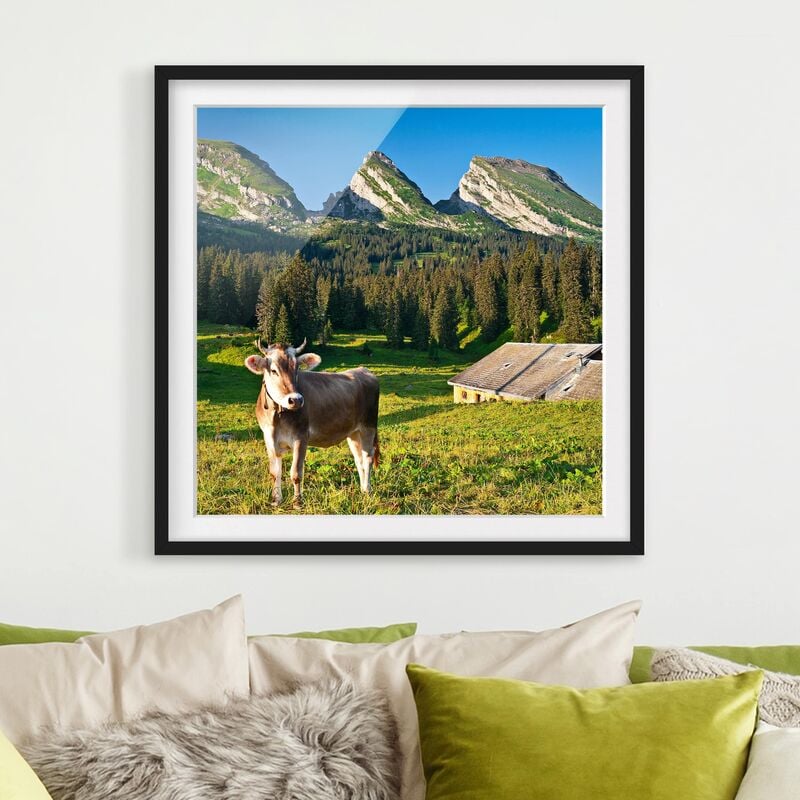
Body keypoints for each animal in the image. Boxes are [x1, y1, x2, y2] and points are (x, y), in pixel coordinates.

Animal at [244, 337, 380, 508]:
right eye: (274, 370)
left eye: (297, 369)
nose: (295, 400)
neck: (276, 417)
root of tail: (363, 370)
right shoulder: (268, 438)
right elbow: (275, 472)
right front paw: (276, 500)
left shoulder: (301, 437)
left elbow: (296, 472)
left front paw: (297, 501)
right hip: (353, 432)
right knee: (359, 459)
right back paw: (362, 489)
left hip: (368, 426)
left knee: (368, 457)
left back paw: (367, 490)